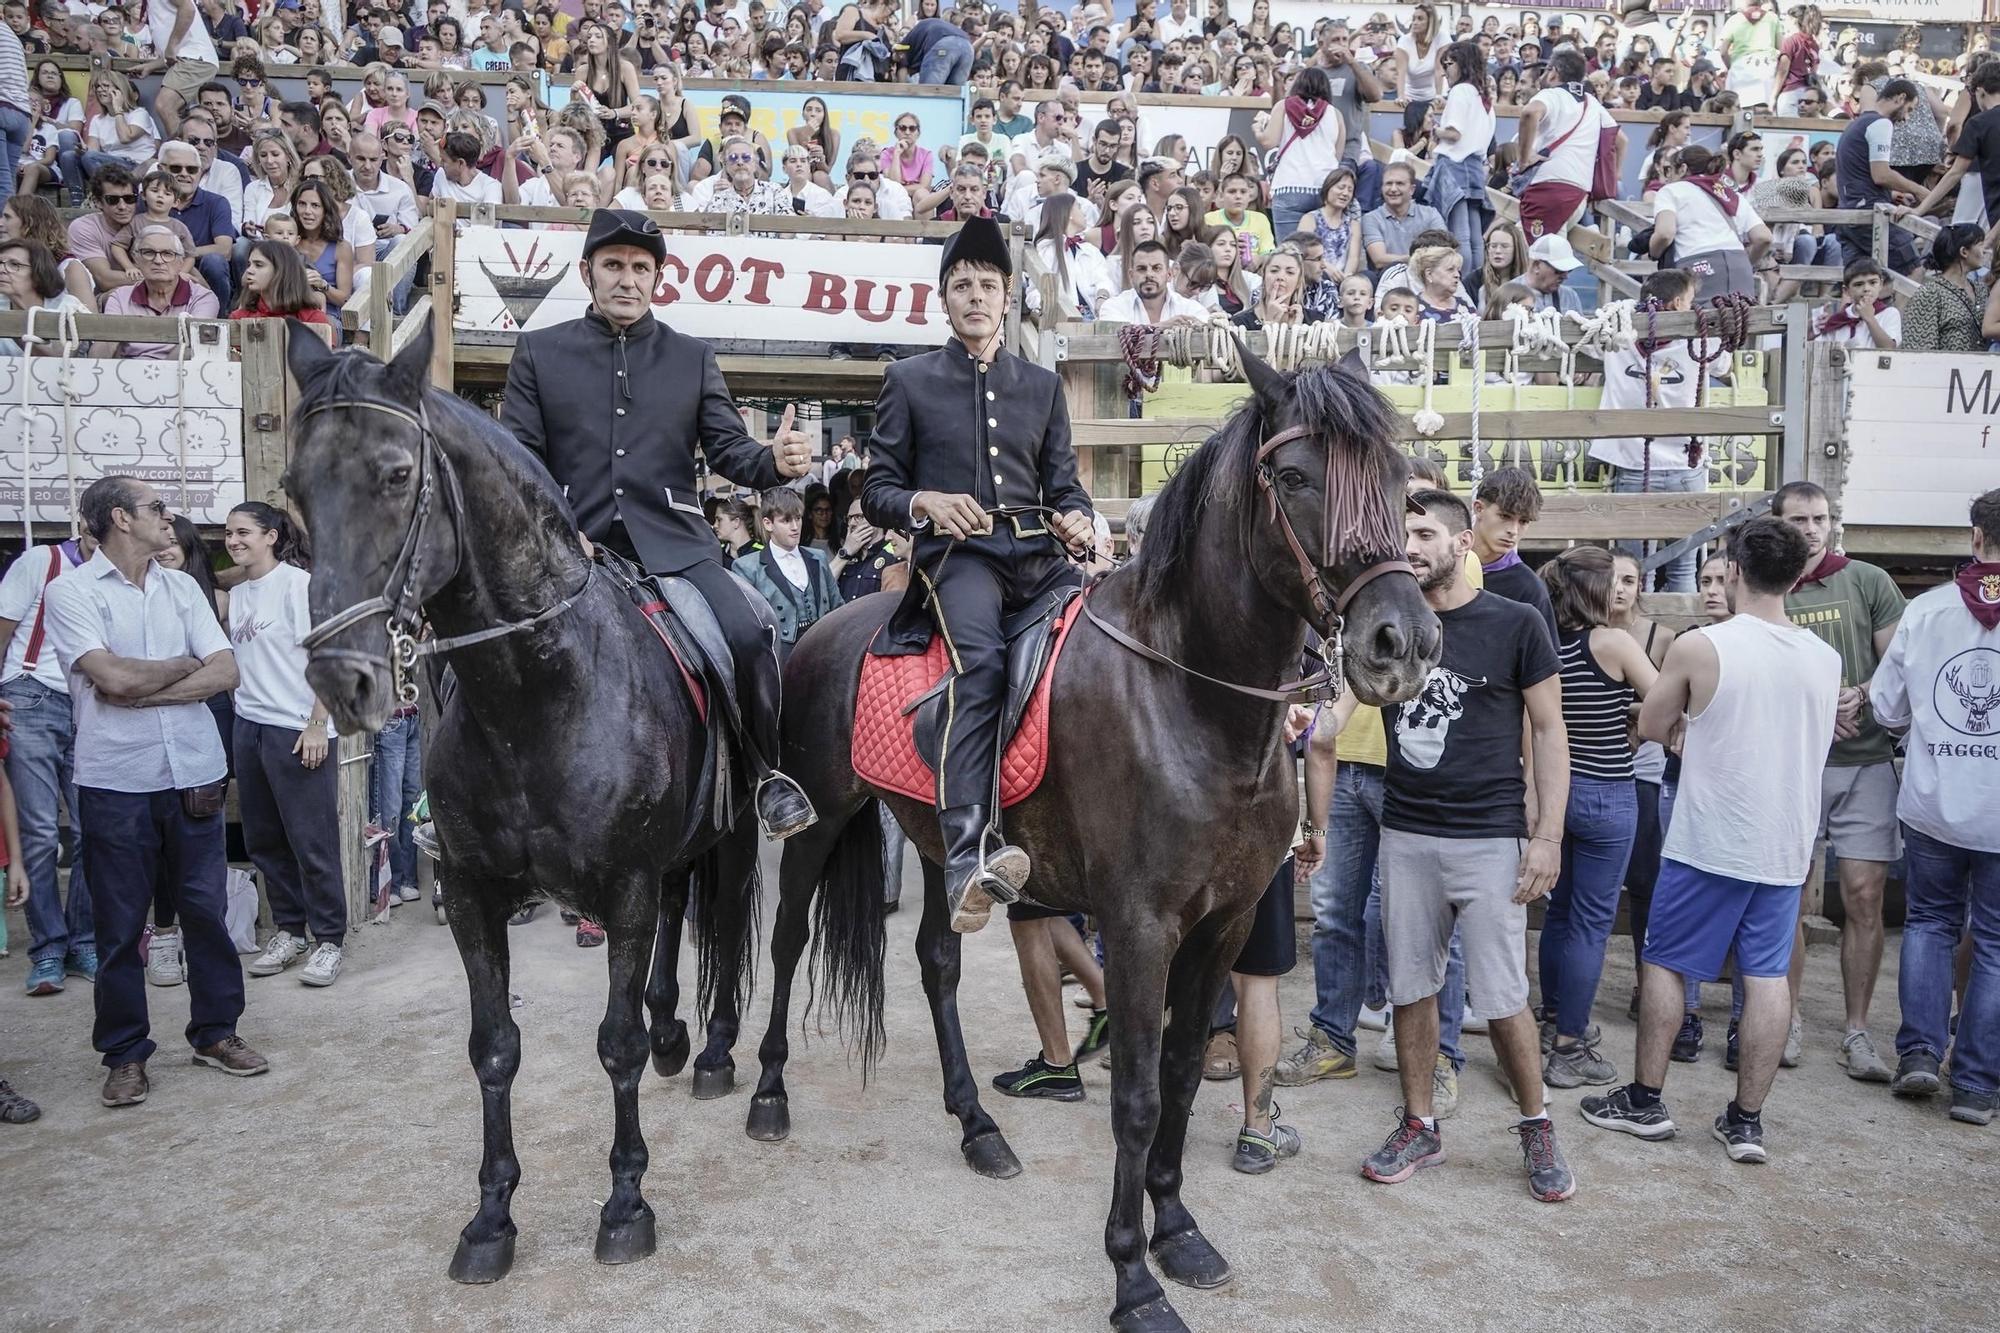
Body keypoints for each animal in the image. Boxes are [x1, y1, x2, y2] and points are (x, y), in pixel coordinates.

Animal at [290, 322, 764, 1280]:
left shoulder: (622, 884)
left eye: (396, 472)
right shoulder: (475, 892)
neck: (535, 690)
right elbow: (494, 1048)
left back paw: (713, 1048)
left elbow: (614, 1042)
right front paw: (490, 1217)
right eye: (294, 488)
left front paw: (626, 1202)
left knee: (725, 926)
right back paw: (674, 1031)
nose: (341, 679)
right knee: (676, 921)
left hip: (729, 842)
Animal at [744, 348, 1448, 1320]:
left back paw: (979, 1127)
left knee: (936, 962)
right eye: (1297, 477)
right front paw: (1132, 1275)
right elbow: (1139, 1095)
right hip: (817, 817)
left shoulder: (1223, 922)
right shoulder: (1140, 925)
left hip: (939, 846)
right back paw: (768, 1094)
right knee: (786, 941)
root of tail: (826, 628)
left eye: (1395, 481)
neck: (1191, 696)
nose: (1402, 643)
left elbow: (1185, 1072)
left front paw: (1179, 1230)